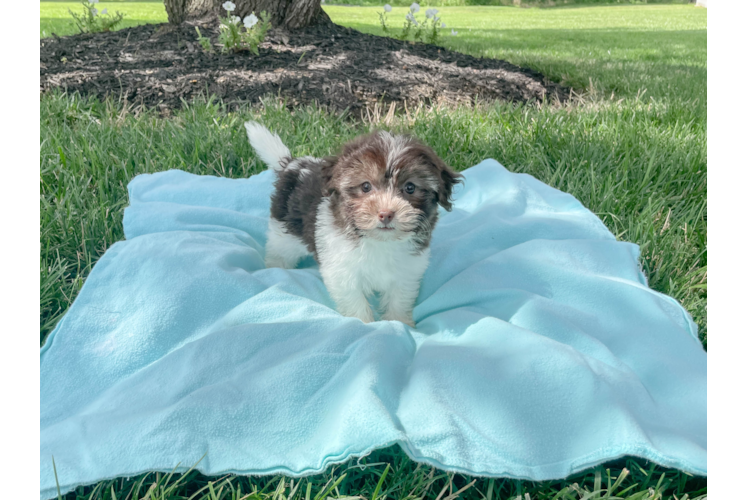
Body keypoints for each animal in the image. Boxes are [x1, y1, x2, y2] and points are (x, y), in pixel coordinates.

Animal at [245, 119, 462, 326]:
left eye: (410, 187)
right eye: (366, 186)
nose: (385, 214)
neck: (379, 241)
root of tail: (293, 165)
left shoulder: (407, 271)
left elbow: (399, 298)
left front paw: (400, 322)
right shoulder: (342, 270)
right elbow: (354, 299)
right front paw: (364, 323)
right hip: (284, 232)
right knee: (279, 252)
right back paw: (276, 268)